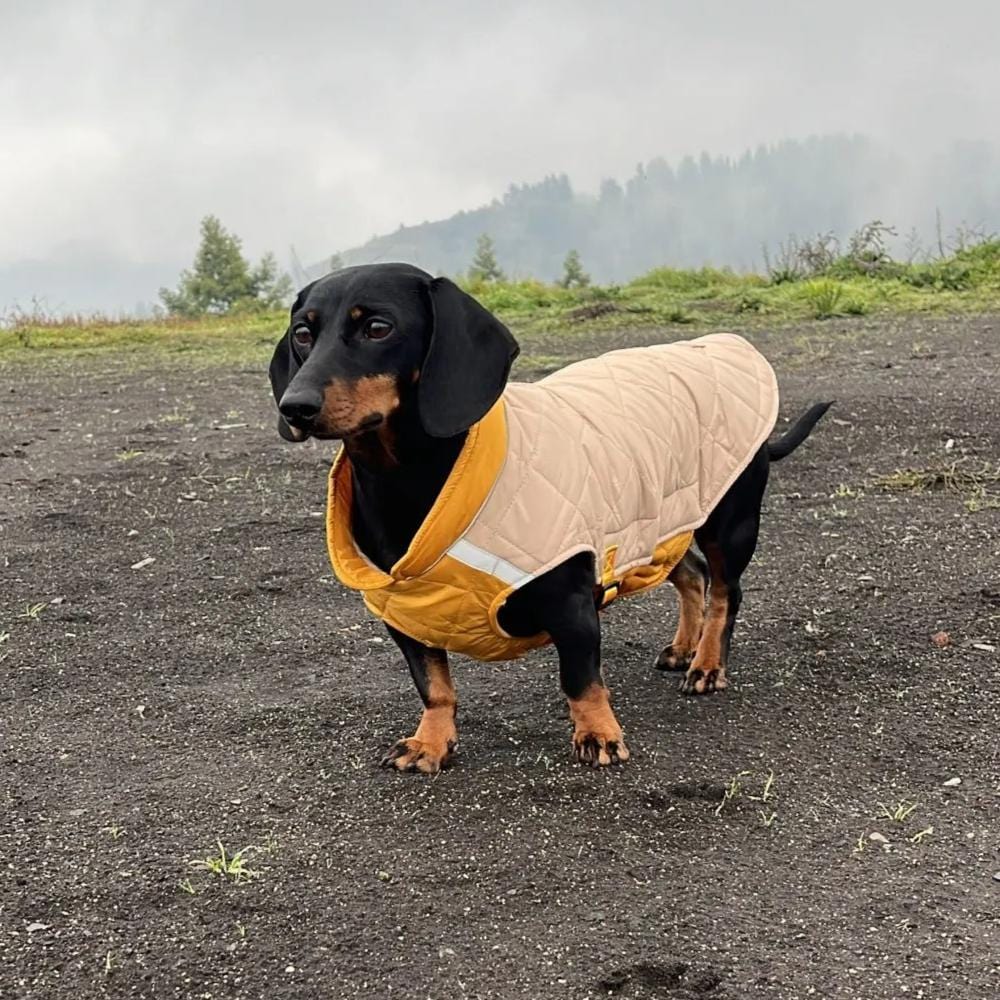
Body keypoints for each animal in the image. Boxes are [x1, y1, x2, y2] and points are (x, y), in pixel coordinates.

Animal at [270, 264, 832, 772]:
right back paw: (682, 648)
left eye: (377, 328)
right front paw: (430, 742)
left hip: (728, 518)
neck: (410, 481)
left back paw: (708, 663)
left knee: (724, 592)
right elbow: (434, 686)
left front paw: (598, 735)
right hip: (657, 524)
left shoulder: (571, 601)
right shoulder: (404, 616)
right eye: (303, 333)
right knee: (692, 575)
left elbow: (580, 679)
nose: (294, 406)